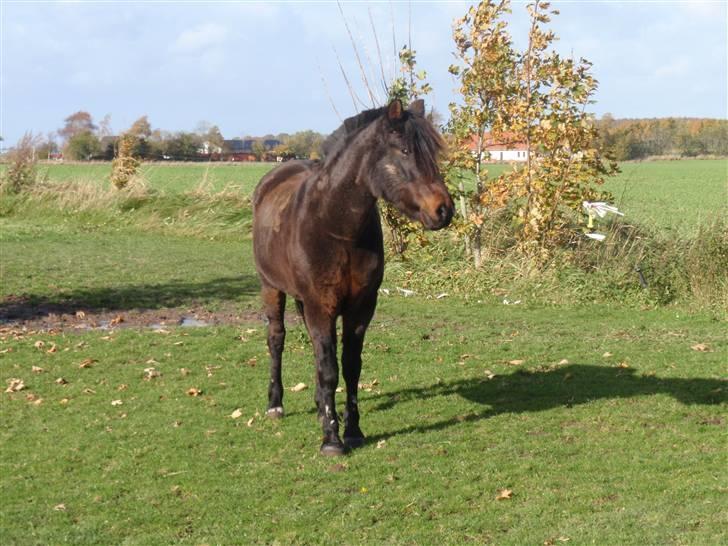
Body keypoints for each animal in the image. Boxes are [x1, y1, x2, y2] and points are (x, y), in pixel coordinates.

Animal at [253, 99, 452, 454]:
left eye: (433, 154)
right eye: (404, 150)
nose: (444, 210)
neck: (335, 226)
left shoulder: (361, 307)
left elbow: (349, 367)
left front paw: (353, 430)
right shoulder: (321, 306)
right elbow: (330, 370)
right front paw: (331, 440)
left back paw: (319, 407)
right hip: (271, 288)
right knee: (276, 339)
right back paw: (276, 404)